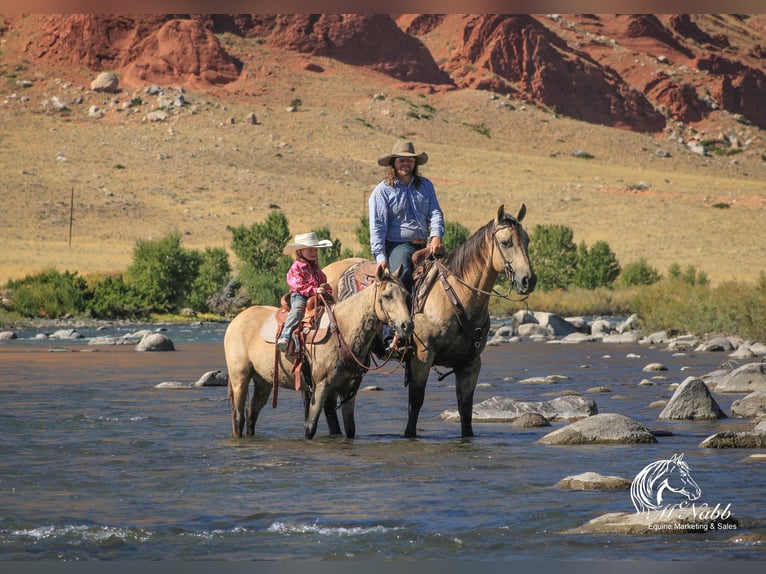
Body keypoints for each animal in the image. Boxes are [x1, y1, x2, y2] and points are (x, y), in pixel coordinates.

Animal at [224, 266, 414, 440]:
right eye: (387, 296)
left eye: (406, 295)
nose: (407, 326)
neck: (343, 331)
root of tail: (236, 320)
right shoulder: (321, 386)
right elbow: (310, 427)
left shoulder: (348, 389)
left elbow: (350, 429)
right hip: (240, 377)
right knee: (238, 416)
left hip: (263, 382)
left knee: (251, 413)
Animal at [328, 205, 536, 438]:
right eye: (506, 242)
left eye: (527, 240)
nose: (528, 280)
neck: (455, 296)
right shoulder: (422, 356)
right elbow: (415, 402)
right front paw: (409, 434)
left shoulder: (471, 363)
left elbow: (465, 409)